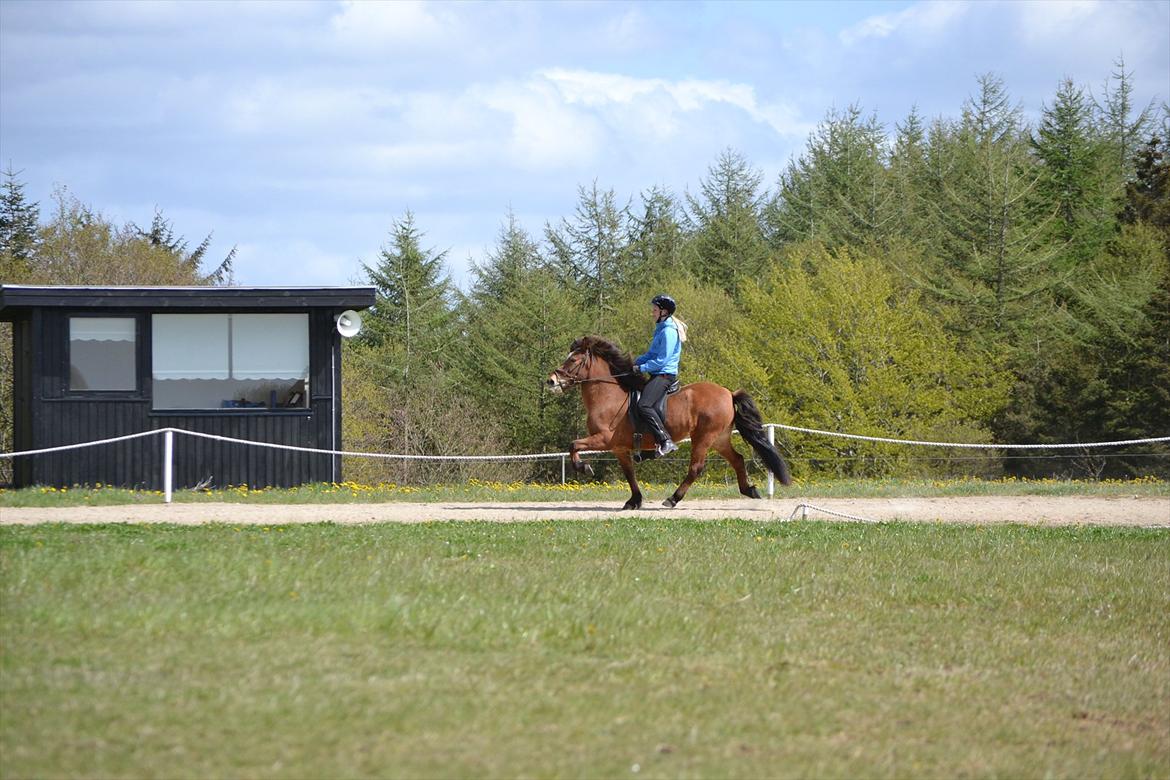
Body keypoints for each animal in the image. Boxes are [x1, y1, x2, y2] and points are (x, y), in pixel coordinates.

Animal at [547, 336, 795, 512]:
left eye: (573, 360)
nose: (551, 381)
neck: (608, 397)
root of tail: (728, 392)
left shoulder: (604, 440)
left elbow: (573, 445)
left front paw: (583, 467)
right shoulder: (619, 448)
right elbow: (629, 473)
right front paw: (634, 501)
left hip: (703, 438)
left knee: (696, 468)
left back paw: (673, 499)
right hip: (720, 438)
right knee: (738, 459)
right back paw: (749, 490)